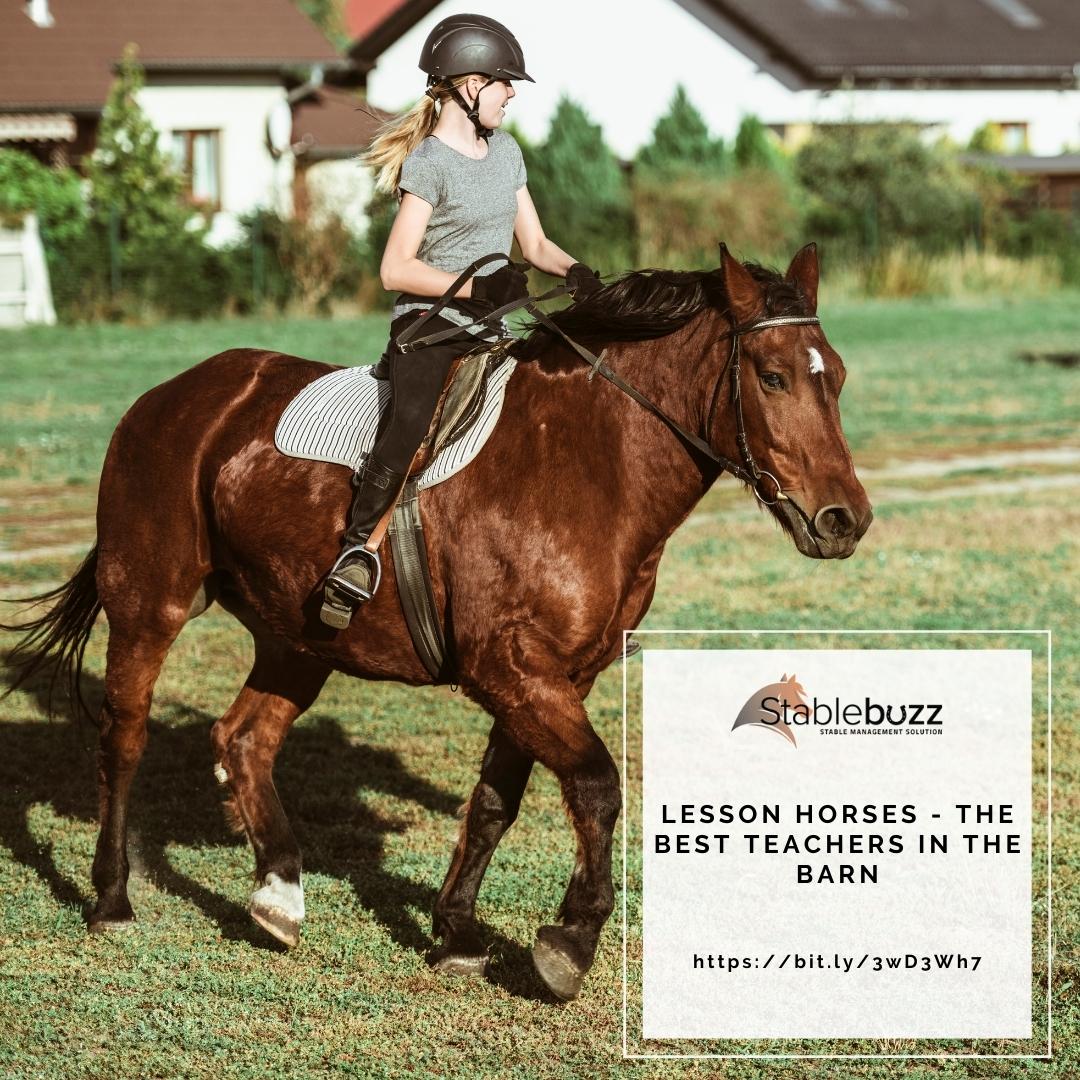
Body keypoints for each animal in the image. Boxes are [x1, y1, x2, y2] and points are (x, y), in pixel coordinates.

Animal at [3, 243, 871, 1001]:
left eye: (837, 378)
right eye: (772, 377)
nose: (845, 520)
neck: (591, 464)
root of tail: (171, 396)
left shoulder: (555, 676)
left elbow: (494, 801)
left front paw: (455, 932)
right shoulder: (513, 669)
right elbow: (596, 786)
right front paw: (569, 942)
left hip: (300, 635)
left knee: (244, 739)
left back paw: (279, 894)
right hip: (150, 604)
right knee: (124, 737)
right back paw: (112, 898)